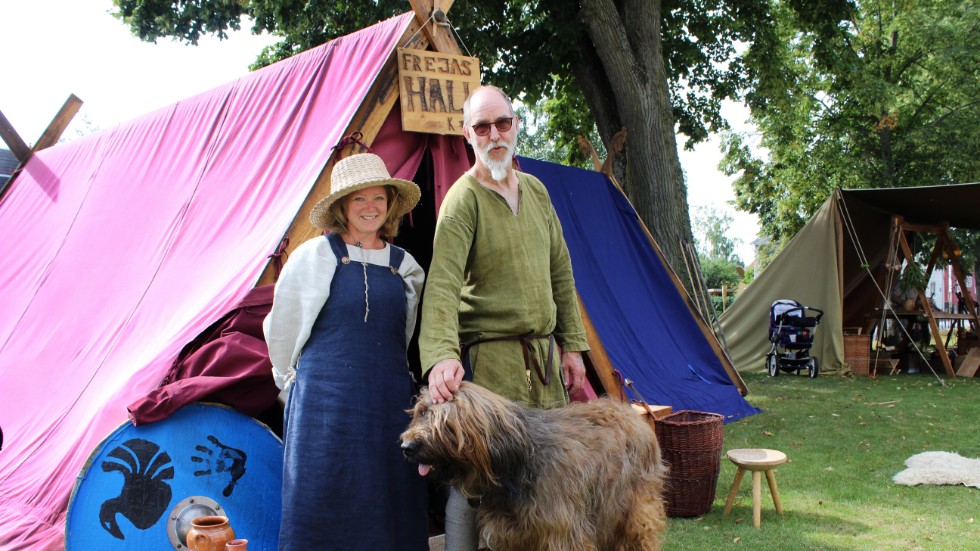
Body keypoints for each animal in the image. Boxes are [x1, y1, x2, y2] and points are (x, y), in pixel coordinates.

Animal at [400, 384, 668, 551]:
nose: (406, 446)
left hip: (633, 508)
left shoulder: (561, 533)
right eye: (420, 412)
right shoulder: (512, 536)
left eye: (446, 424)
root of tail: (628, 410)